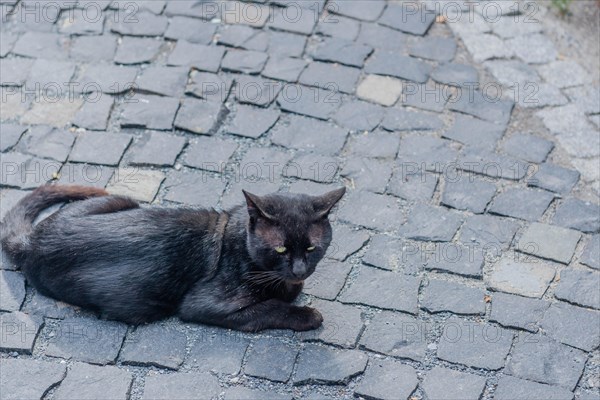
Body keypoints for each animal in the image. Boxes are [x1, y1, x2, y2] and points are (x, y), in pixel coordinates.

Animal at [2, 184, 344, 332]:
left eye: (312, 248)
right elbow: (268, 308)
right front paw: (307, 315)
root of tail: (33, 239)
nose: (299, 270)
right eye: (281, 250)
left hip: (120, 200)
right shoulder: (203, 304)